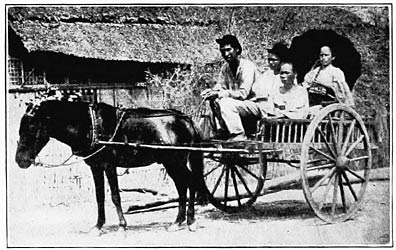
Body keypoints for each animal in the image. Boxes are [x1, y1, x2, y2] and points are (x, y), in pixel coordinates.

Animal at [13, 98, 206, 233]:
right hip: (172, 163)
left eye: (32, 128)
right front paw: (98, 227)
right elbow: (100, 196)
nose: (20, 160)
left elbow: (115, 196)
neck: (91, 125)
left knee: (190, 183)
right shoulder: (95, 166)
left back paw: (189, 221)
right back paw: (179, 222)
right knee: (184, 186)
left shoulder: (109, 165)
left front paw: (122, 225)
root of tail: (186, 119)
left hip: (175, 162)